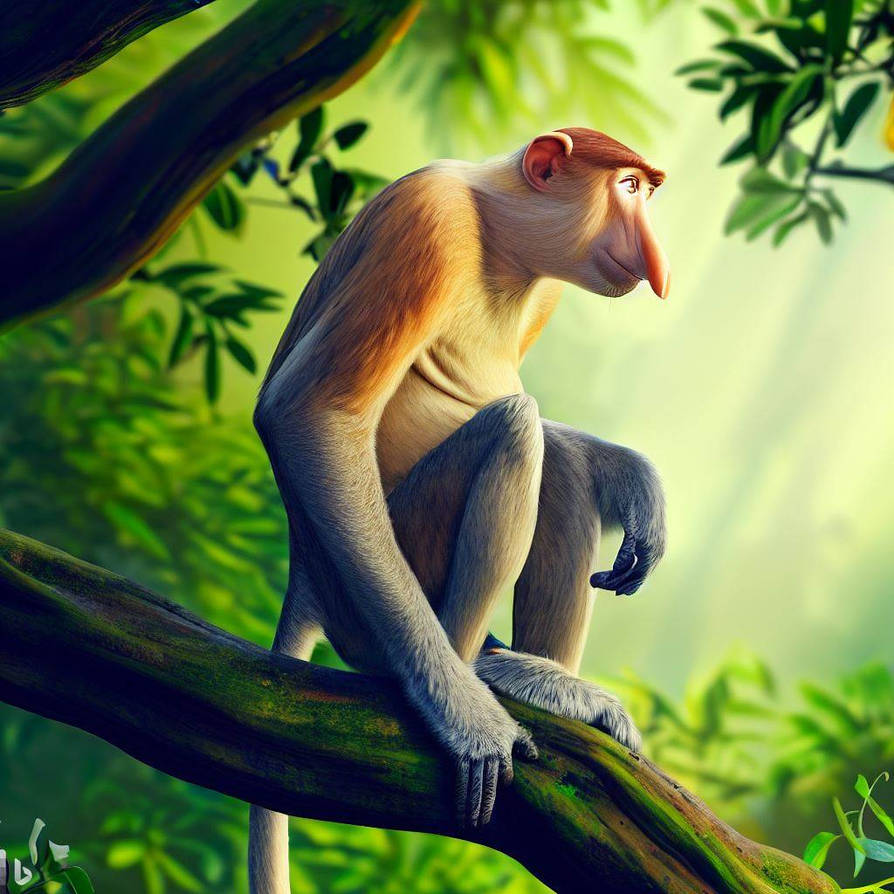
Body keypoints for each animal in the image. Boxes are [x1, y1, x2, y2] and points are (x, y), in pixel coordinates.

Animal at [248, 126, 669, 894]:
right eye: (628, 186)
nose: (657, 261)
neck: (497, 230)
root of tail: (307, 576)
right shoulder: (427, 224)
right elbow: (304, 412)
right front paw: (466, 718)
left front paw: (638, 484)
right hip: (379, 588)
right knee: (516, 430)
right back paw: (481, 672)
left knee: (557, 463)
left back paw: (540, 678)